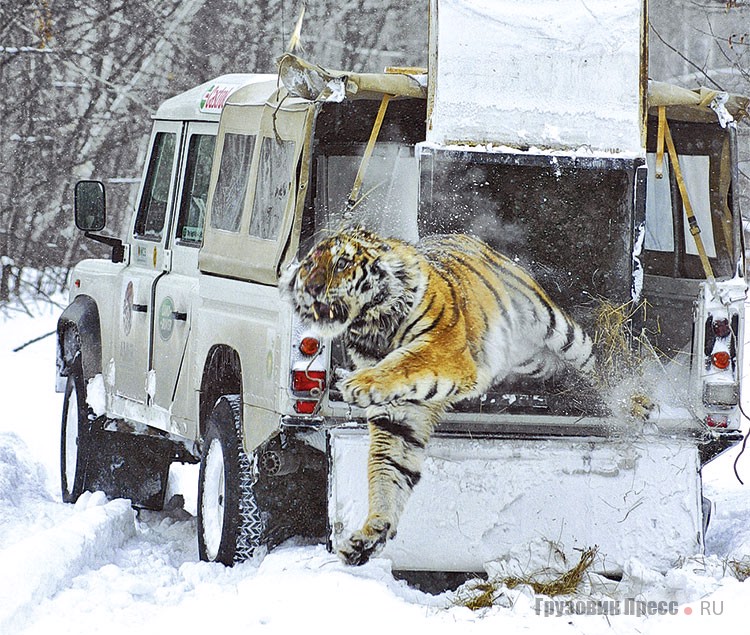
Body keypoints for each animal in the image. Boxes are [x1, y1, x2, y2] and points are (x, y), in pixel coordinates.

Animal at [280, 227, 596, 568]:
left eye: (341, 263)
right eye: (310, 264)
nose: (311, 287)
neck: (371, 327)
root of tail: (468, 238)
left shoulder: (442, 351)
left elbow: (403, 361)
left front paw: (359, 382)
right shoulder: (398, 417)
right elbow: (387, 471)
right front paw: (370, 536)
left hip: (555, 327)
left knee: (592, 357)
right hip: (530, 358)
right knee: (554, 365)